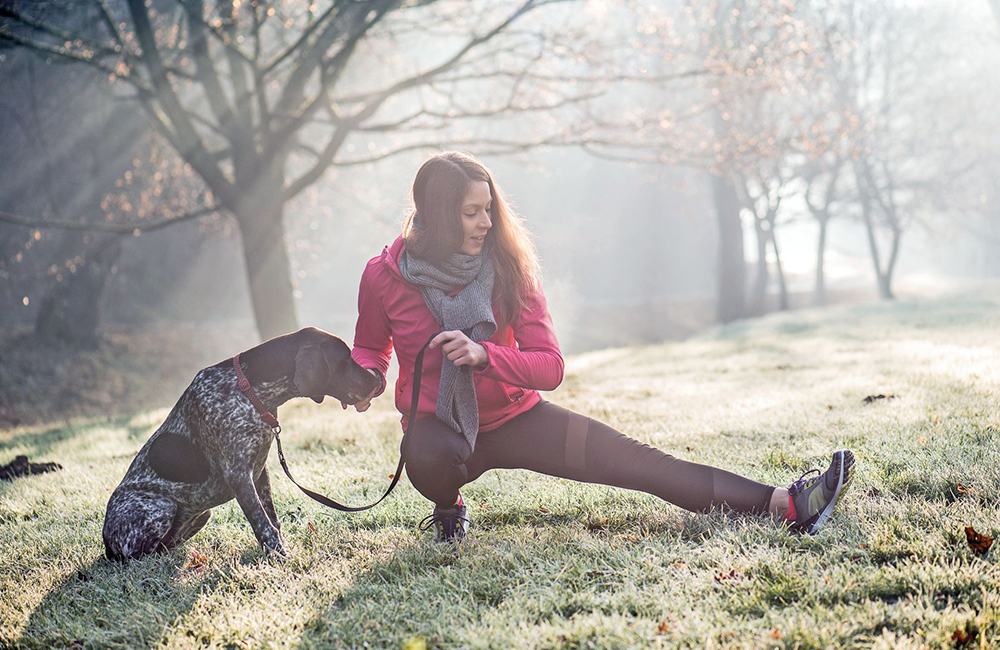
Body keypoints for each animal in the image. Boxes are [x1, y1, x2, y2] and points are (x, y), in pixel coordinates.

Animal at [102, 326, 378, 560]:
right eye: (345, 360)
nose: (375, 380)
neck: (249, 390)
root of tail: (107, 546)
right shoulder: (238, 475)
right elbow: (263, 523)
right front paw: (279, 558)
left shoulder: (260, 470)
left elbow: (272, 519)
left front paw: (278, 550)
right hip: (160, 508)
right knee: (137, 556)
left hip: (202, 515)